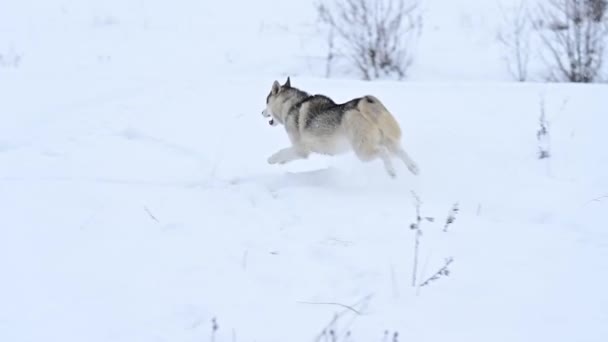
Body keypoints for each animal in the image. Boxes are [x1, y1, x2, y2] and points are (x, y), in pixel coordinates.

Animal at [262, 78, 418, 179]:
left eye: (266, 101)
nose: (261, 112)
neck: (292, 105)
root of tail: (358, 105)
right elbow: (286, 155)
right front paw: (280, 161)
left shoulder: (301, 149)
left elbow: (282, 152)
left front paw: (271, 159)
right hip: (385, 140)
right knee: (399, 151)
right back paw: (414, 168)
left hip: (363, 151)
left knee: (384, 152)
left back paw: (391, 172)